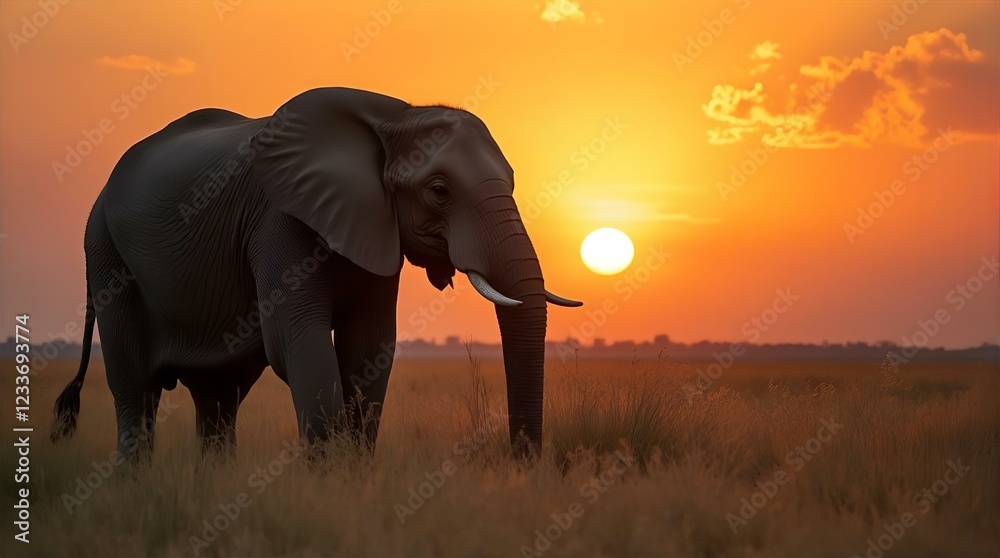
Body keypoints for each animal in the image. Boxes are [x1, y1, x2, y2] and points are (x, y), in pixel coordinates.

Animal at [50, 87, 581, 464]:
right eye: (439, 190)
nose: (522, 467)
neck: (395, 116)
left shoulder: (373, 227)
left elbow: (369, 349)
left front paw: (355, 480)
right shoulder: (278, 220)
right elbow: (299, 343)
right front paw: (329, 485)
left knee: (218, 394)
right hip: (107, 253)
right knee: (134, 384)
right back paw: (134, 482)